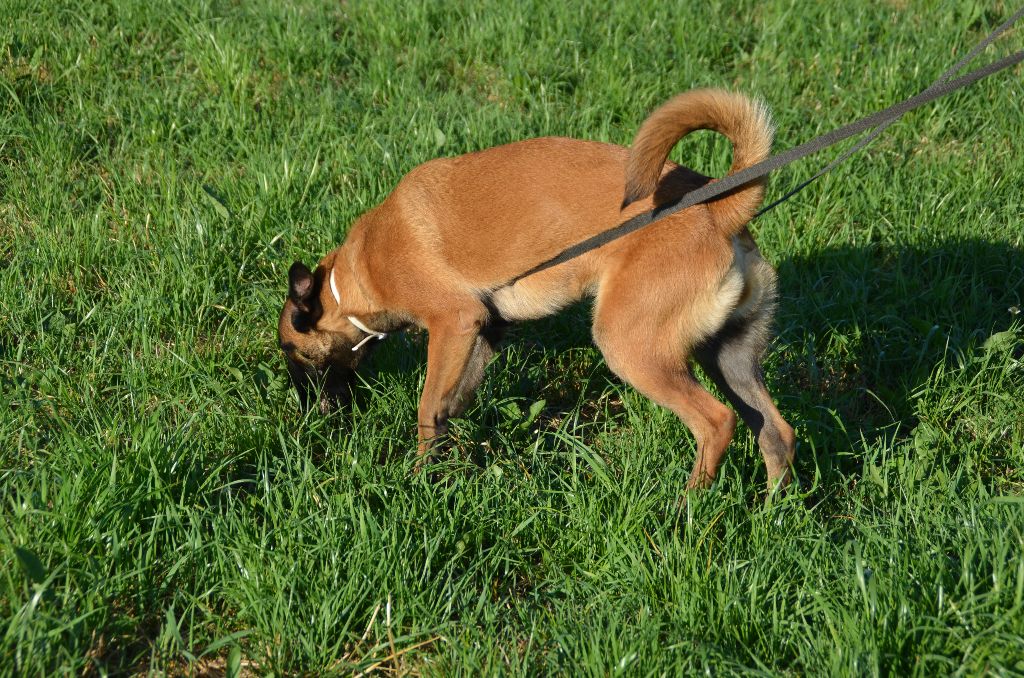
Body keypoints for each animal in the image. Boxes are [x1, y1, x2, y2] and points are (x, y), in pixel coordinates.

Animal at [280, 91, 798, 493]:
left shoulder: (454, 322)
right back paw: (774, 514)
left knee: (717, 423)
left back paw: (687, 507)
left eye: (292, 350)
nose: (305, 414)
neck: (356, 272)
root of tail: (717, 211)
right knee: (777, 433)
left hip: (632, 348)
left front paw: (420, 476)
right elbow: (450, 404)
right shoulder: (485, 331)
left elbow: (428, 407)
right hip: (728, 357)